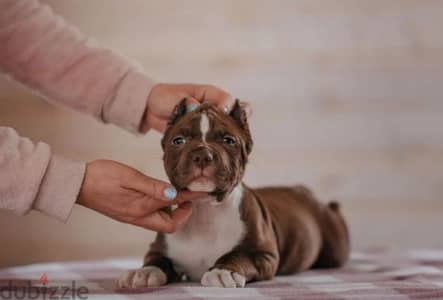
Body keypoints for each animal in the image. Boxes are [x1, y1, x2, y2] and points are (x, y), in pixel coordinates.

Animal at [118, 100, 350, 288]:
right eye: (178, 140)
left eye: (229, 141)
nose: (202, 154)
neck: (205, 209)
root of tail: (307, 193)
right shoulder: (158, 248)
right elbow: (157, 260)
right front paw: (145, 272)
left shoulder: (263, 255)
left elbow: (239, 255)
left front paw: (223, 271)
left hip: (334, 246)